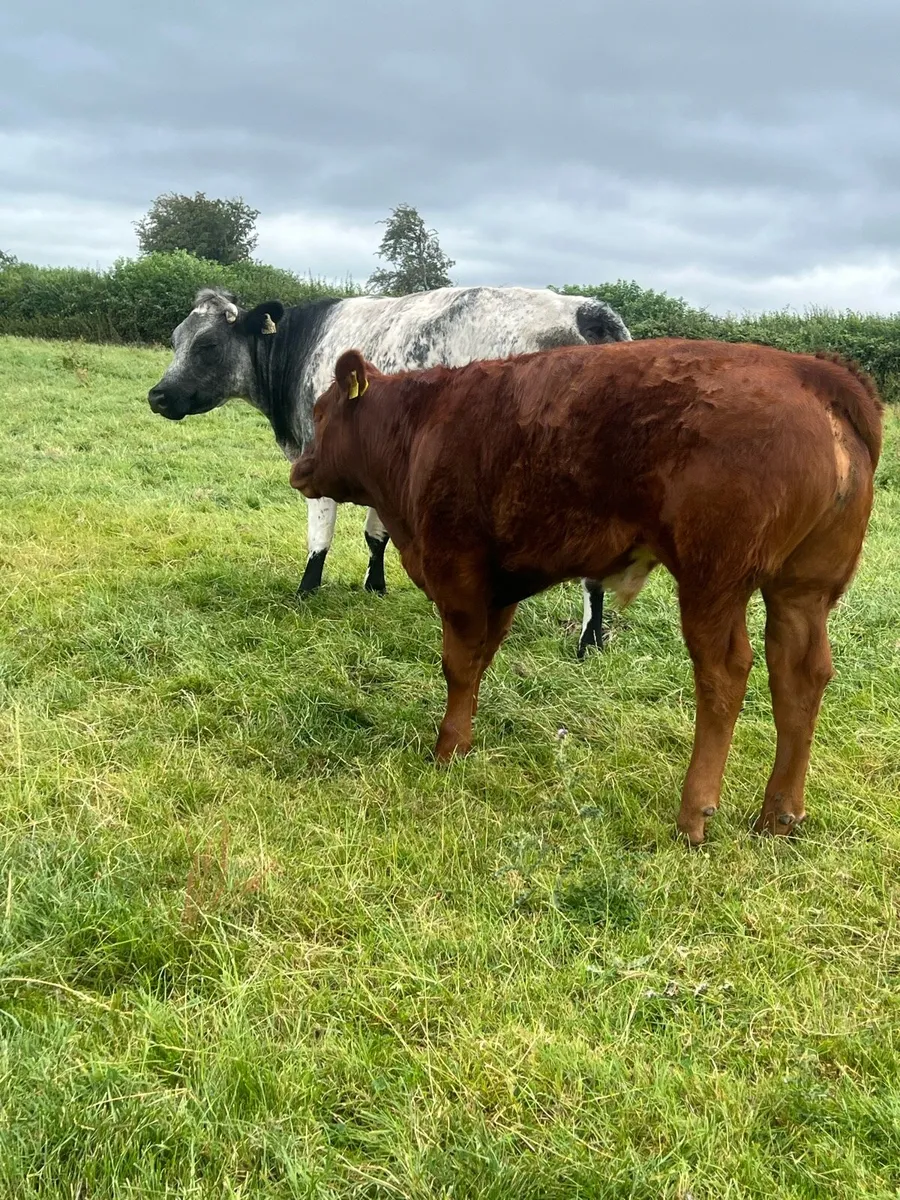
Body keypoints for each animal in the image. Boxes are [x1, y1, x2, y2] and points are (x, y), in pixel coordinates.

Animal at [147, 285, 632, 657]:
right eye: (174, 339)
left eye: (207, 345)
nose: (157, 395)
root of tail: (587, 310)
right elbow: (374, 534)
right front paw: (375, 586)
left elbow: (319, 536)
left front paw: (306, 592)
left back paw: (586, 640)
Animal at [290, 339, 882, 846]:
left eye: (320, 414)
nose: (298, 468)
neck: (421, 426)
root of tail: (808, 371)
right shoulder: (499, 587)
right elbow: (479, 661)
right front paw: (464, 739)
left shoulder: (457, 571)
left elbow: (457, 665)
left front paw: (447, 748)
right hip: (803, 588)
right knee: (799, 676)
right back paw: (778, 816)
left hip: (713, 580)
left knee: (726, 676)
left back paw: (693, 815)